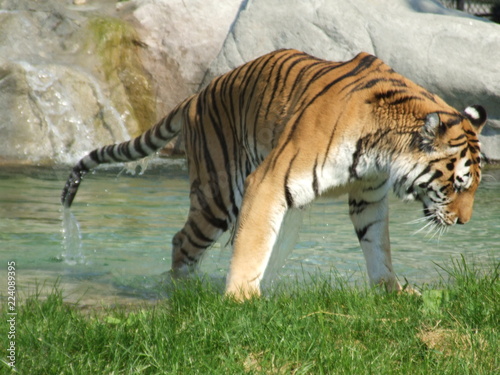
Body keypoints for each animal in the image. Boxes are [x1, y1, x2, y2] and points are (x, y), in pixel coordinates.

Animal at [60, 49, 486, 302]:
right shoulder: (269, 182)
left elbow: (378, 247)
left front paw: (392, 292)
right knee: (182, 241)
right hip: (218, 194)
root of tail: (196, 96)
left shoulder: (368, 197)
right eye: (457, 185)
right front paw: (240, 301)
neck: (383, 148)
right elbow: (252, 246)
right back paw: (182, 292)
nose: (464, 222)